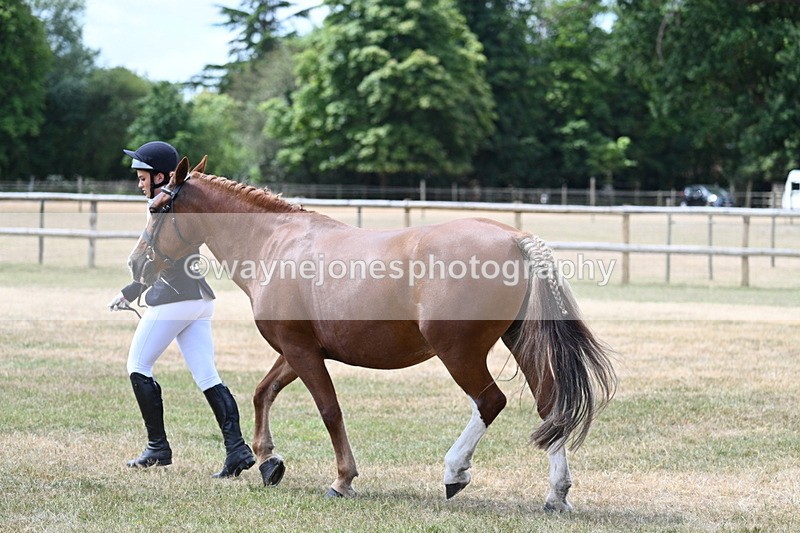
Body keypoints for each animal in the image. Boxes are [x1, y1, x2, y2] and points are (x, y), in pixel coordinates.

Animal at [128, 157, 616, 511]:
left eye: (155, 209)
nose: (136, 264)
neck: (275, 244)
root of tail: (514, 238)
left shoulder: (303, 353)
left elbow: (329, 411)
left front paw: (342, 479)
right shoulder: (296, 349)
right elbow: (262, 393)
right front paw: (267, 462)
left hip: (458, 352)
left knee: (490, 401)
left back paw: (454, 472)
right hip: (517, 342)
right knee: (550, 405)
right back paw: (556, 494)